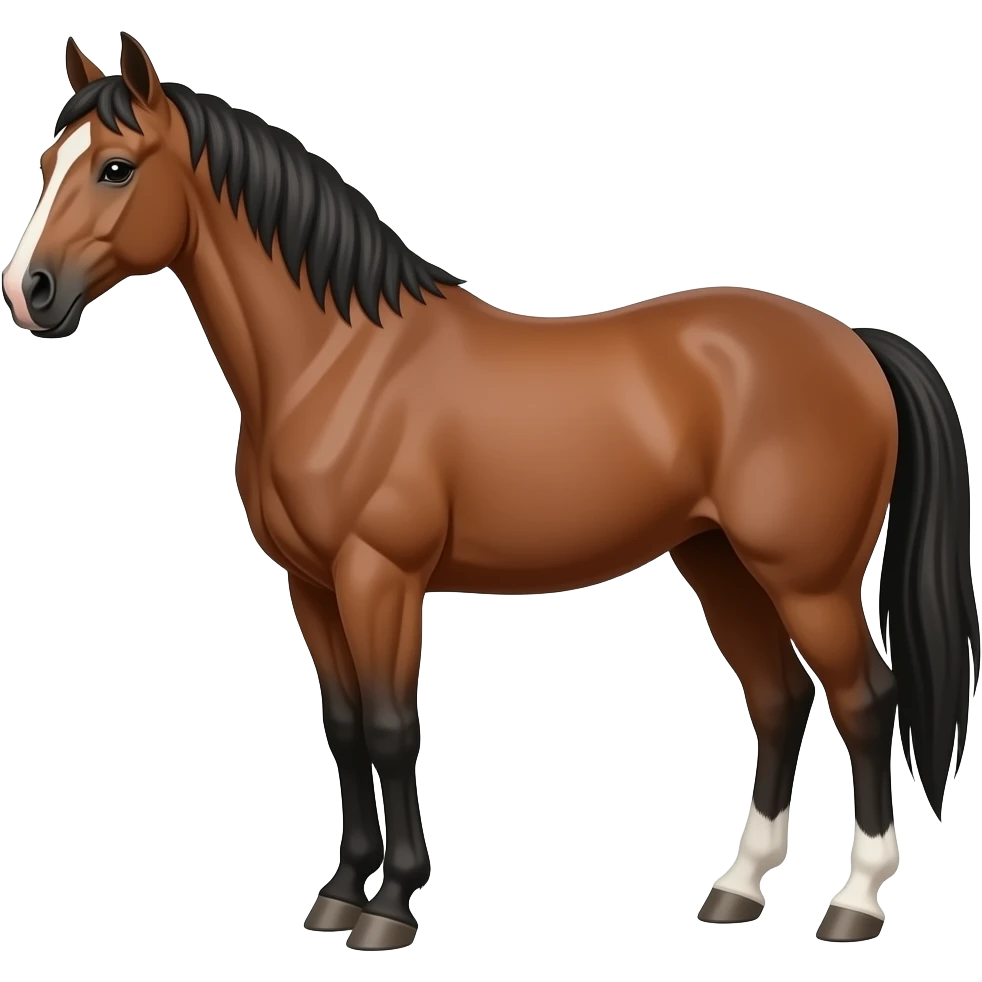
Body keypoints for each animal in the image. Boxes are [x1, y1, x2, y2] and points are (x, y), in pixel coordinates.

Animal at [2, 33, 978, 951]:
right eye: (46, 163)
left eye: (116, 167)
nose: (29, 291)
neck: (336, 363)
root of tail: (852, 342)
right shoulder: (311, 585)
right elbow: (344, 728)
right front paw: (337, 894)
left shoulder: (380, 578)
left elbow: (392, 728)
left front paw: (391, 906)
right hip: (719, 562)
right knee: (779, 700)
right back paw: (737, 889)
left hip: (808, 580)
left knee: (866, 701)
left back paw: (853, 903)